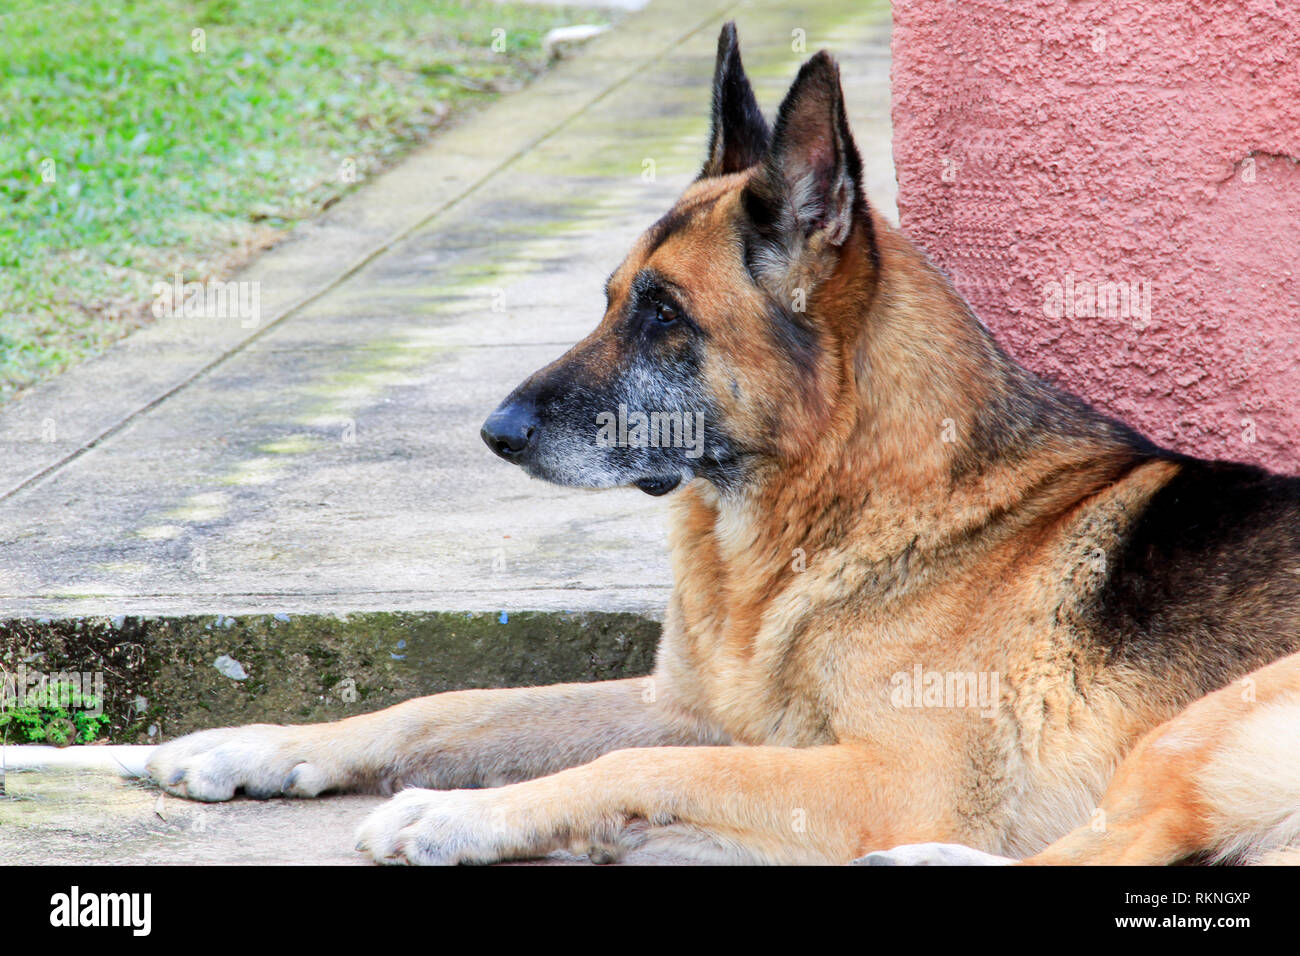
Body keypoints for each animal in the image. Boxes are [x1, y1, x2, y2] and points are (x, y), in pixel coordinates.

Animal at [147, 26, 1300, 868]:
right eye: (610, 298)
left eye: (663, 315)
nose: (495, 434)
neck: (832, 507)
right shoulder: (689, 710)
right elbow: (444, 706)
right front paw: (258, 745)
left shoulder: (890, 777)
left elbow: (627, 768)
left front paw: (457, 812)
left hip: (1204, 727)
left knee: (1126, 839)